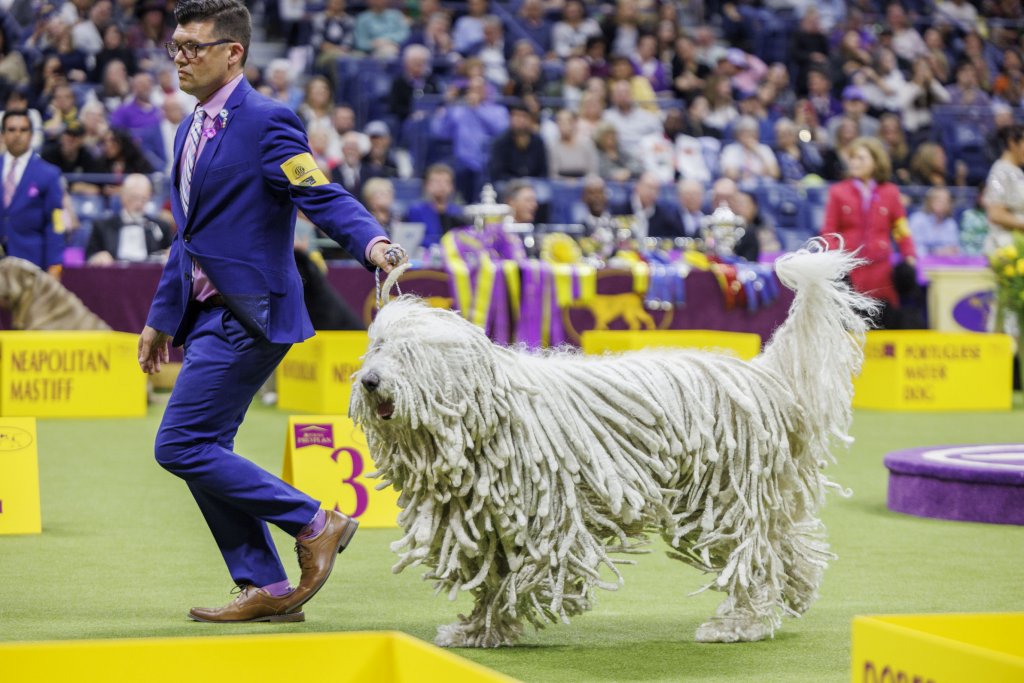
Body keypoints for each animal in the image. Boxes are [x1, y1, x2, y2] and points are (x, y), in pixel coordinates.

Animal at [350, 242, 872, 651]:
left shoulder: (543, 519)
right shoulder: (485, 524)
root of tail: (762, 375)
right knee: (784, 543)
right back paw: (797, 592)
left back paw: (740, 623)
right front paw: (480, 630)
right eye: (376, 346)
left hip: (726, 495)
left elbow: (526, 574)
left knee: (752, 555)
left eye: (408, 354)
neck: (487, 414)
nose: (371, 381)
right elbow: (493, 578)